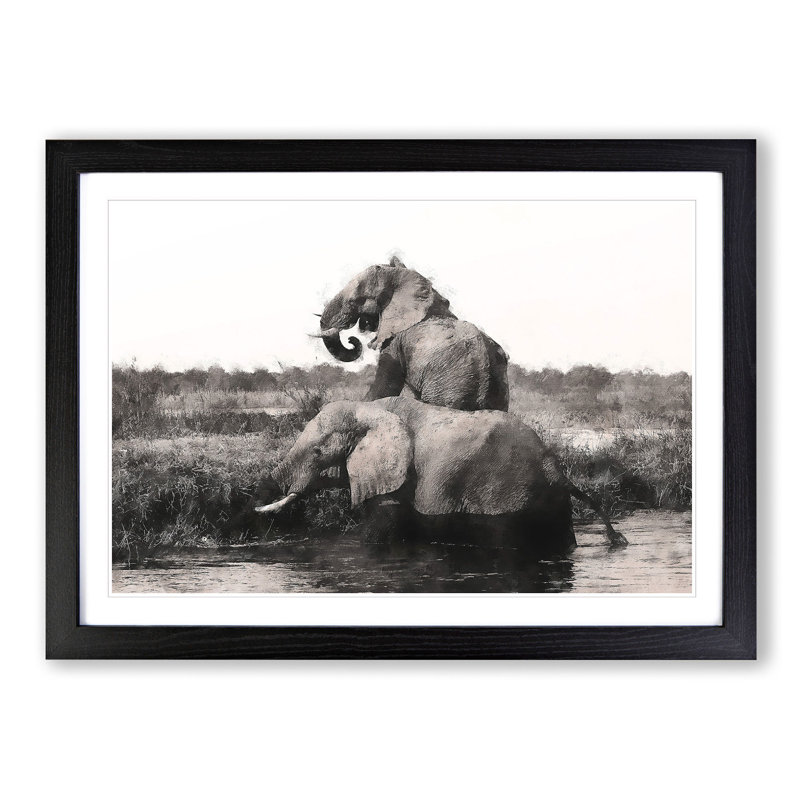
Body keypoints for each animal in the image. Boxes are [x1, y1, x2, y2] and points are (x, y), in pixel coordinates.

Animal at [254, 397, 627, 554]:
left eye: (318, 453)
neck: (368, 408)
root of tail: (554, 466)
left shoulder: (397, 480)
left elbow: (379, 533)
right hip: (549, 501)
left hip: (507, 497)